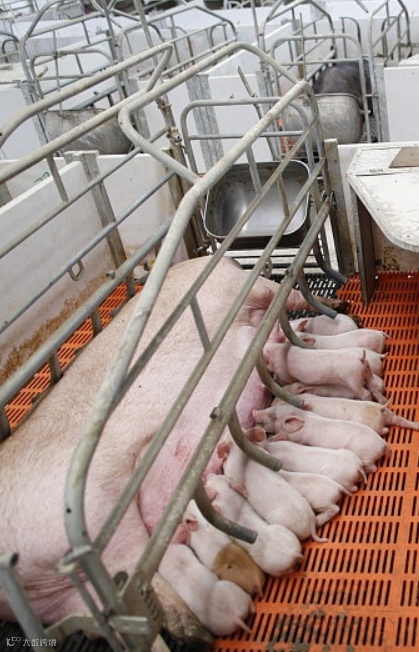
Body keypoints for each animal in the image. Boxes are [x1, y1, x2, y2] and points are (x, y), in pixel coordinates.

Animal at [254, 407, 390, 473]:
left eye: (272, 416)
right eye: (271, 407)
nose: (254, 411)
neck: (302, 418)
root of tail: (383, 444)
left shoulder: (299, 438)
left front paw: (271, 438)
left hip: (367, 457)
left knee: (373, 468)